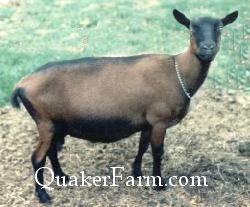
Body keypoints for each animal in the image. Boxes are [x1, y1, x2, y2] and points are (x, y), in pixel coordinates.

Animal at [11, 9, 238, 202]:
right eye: (192, 28)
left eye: (219, 27)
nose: (207, 48)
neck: (178, 72)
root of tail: (21, 85)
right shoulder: (160, 120)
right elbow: (157, 152)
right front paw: (159, 183)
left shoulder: (148, 121)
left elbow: (142, 147)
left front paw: (137, 173)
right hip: (44, 121)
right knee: (37, 158)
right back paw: (43, 195)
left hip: (57, 123)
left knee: (51, 151)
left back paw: (62, 177)